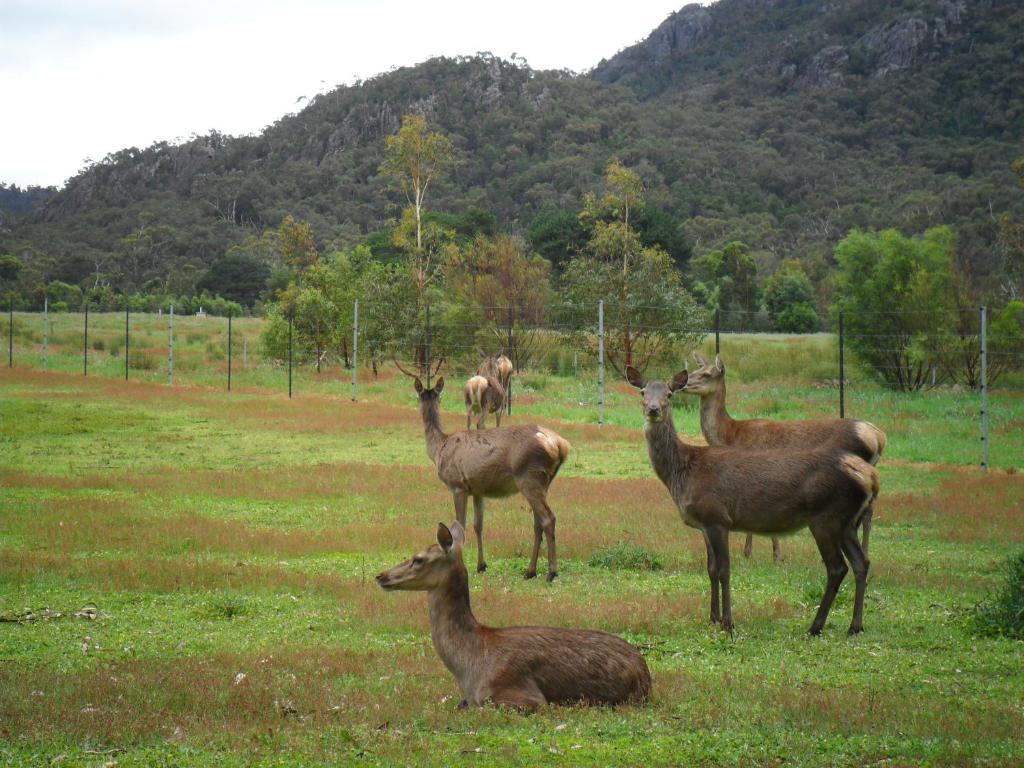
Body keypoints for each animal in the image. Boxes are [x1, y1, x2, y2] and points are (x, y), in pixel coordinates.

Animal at [407, 376, 569, 581]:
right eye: (423, 396)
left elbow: (460, 525)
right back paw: (530, 571)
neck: (438, 449)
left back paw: (552, 572)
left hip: (529, 477)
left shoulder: (457, 485)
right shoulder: (477, 489)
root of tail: (561, 445)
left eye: (417, 397)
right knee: (538, 522)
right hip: (542, 482)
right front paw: (481, 565)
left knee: (548, 518)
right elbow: (479, 525)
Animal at [684, 352, 884, 561]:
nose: (683, 382)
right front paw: (761, 552)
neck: (731, 435)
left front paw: (766, 554)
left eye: (706, 374)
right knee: (869, 511)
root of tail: (878, 437)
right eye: (696, 368)